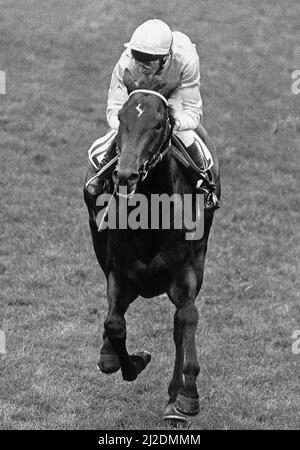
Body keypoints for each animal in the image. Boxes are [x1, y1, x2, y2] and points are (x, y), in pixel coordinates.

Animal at [84, 68, 220, 424]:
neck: (148, 217)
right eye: (121, 117)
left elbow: (186, 319)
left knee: (178, 327)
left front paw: (187, 396)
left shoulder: (184, 275)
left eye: (159, 123)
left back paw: (175, 397)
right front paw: (132, 360)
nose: (125, 175)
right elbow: (114, 324)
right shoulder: (119, 274)